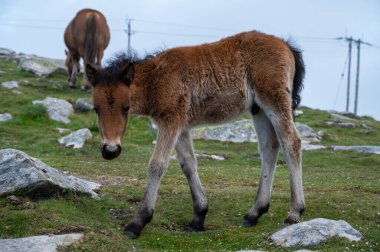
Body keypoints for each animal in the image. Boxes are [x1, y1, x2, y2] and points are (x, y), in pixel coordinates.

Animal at [85, 30, 306, 237]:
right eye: (96, 108)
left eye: (126, 107)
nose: (110, 150)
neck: (158, 78)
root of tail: (285, 44)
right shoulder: (180, 126)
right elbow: (188, 164)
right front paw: (199, 216)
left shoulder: (171, 121)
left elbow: (157, 165)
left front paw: (138, 222)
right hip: (258, 109)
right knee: (269, 148)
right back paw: (254, 213)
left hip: (274, 99)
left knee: (291, 142)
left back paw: (295, 212)